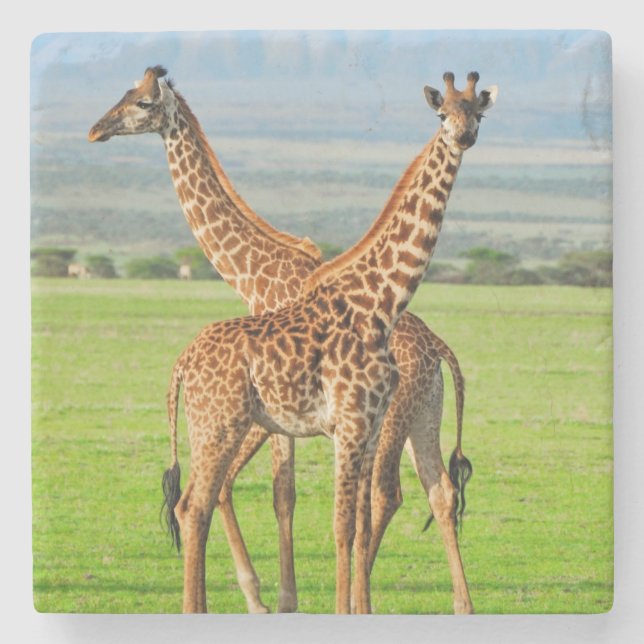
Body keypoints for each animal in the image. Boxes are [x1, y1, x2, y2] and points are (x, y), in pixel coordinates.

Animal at [88, 68, 497, 613]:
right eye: (440, 114)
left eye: (142, 102)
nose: (96, 130)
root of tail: (440, 350)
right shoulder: (314, 423)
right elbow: (292, 500)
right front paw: (285, 600)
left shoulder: (335, 425)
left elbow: (319, 511)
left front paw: (287, 600)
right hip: (404, 420)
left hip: (401, 420)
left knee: (399, 495)